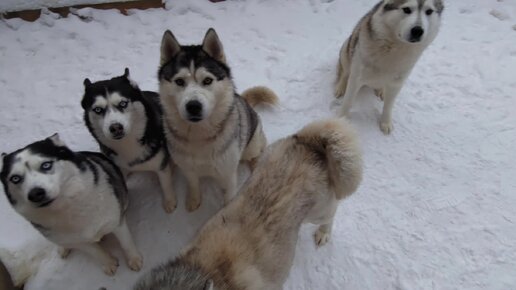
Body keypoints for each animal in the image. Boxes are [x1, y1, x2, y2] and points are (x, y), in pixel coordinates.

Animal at [0, 135, 142, 276]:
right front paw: (108, 263)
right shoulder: (79, 242)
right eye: (15, 178)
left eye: (46, 165)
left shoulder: (116, 222)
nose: (35, 194)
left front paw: (134, 260)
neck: (66, 209)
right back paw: (63, 248)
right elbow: (97, 253)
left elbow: (126, 244)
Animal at [81, 68, 176, 213]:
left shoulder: (161, 164)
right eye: (98, 109)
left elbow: (166, 184)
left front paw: (169, 201)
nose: (115, 127)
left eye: (123, 103)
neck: (127, 144)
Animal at [159, 28, 278, 212]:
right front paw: (194, 200)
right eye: (179, 81)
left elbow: (229, 199)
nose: (193, 106)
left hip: (252, 144)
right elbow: (193, 184)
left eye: (207, 80)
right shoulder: (187, 168)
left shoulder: (228, 173)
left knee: (256, 154)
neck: (199, 136)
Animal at [334, 0, 444, 134]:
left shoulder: (397, 83)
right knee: (345, 73)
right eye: (407, 9)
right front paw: (342, 120)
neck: (395, 48)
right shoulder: (356, 77)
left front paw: (385, 122)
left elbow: (388, 105)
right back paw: (340, 87)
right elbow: (348, 101)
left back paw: (381, 91)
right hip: (347, 49)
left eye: (429, 11)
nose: (418, 30)